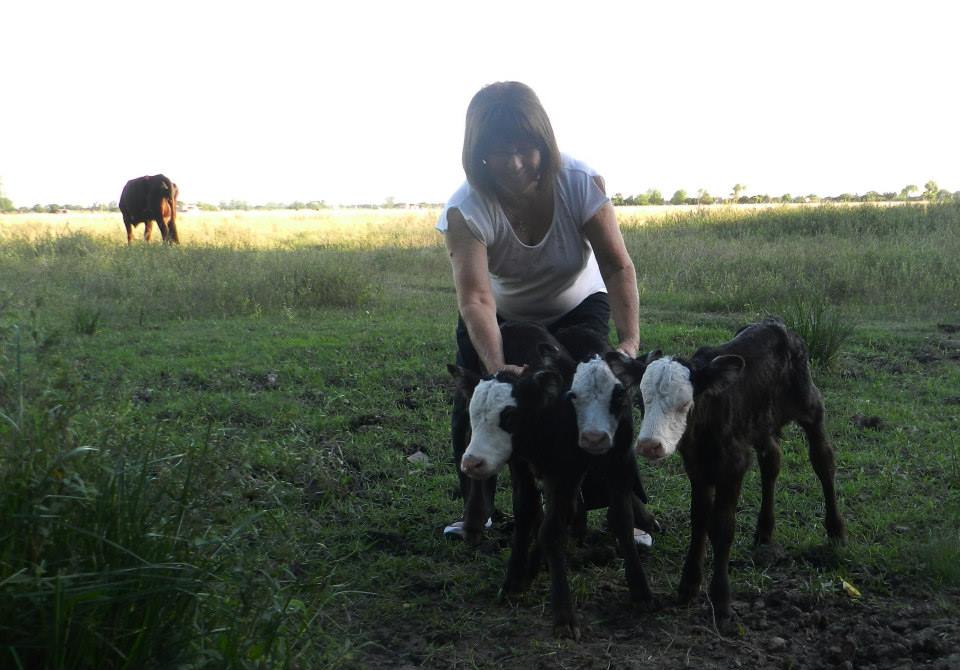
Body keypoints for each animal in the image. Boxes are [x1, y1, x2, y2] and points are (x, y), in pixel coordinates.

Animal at [604, 318, 846, 624]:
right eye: (640, 402)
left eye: (685, 403)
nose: (649, 445)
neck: (704, 430)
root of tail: (775, 323)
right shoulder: (697, 467)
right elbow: (699, 519)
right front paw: (688, 586)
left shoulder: (734, 465)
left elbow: (722, 525)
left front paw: (720, 599)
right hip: (759, 423)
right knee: (772, 461)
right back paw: (764, 531)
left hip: (810, 404)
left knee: (823, 461)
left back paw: (836, 530)